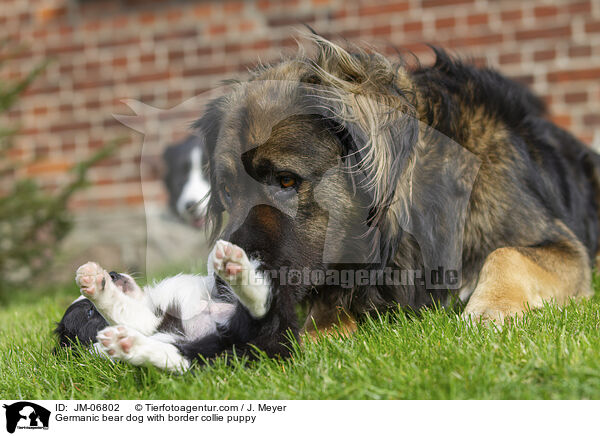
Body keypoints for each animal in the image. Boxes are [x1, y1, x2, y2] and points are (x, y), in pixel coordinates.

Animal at [56, 240, 272, 372]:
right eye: (90, 312)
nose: (112, 274)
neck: (147, 301)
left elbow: (211, 273)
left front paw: (220, 255)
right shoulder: (153, 323)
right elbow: (122, 309)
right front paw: (97, 284)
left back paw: (233, 264)